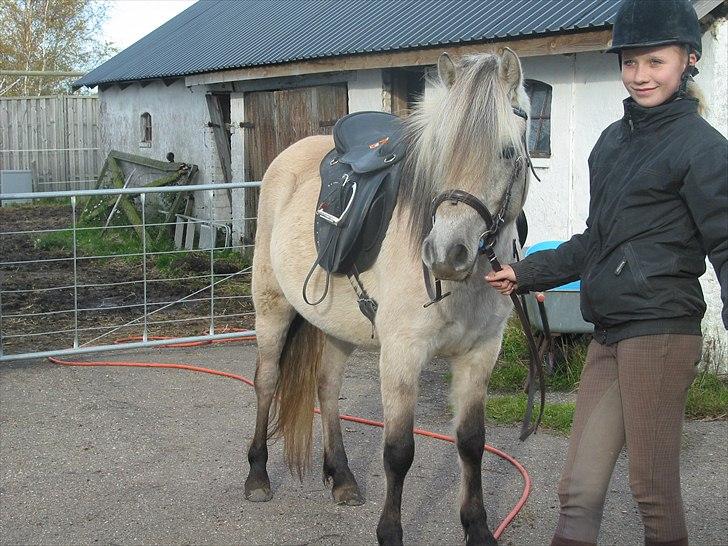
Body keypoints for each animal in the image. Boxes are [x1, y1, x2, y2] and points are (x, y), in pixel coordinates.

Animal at [242, 47, 532, 544]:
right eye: (438, 151)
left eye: (508, 151)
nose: (446, 254)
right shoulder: (401, 355)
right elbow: (398, 451)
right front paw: (390, 532)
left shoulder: (480, 353)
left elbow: (472, 442)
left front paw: (477, 528)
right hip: (272, 311)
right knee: (266, 381)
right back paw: (258, 476)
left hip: (337, 327)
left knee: (327, 386)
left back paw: (341, 478)